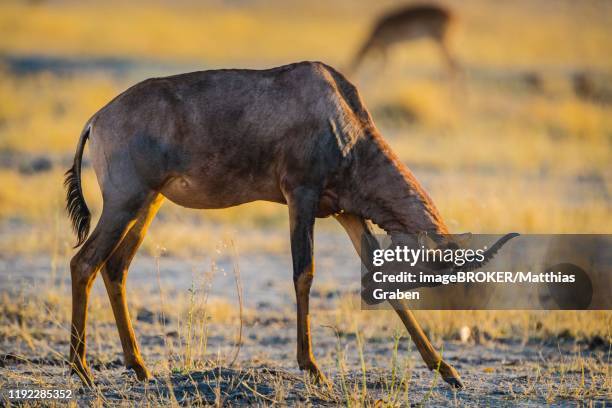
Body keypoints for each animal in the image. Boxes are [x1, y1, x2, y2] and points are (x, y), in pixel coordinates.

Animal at [65, 61, 516, 388]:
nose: (365, 298)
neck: (337, 108)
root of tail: (97, 119)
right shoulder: (301, 196)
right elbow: (304, 274)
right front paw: (313, 368)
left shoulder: (347, 212)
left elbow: (370, 270)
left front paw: (448, 371)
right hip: (125, 203)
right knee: (84, 263)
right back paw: (82, 371)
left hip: (148, 204)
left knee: (115, 268)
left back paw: (140, 367)